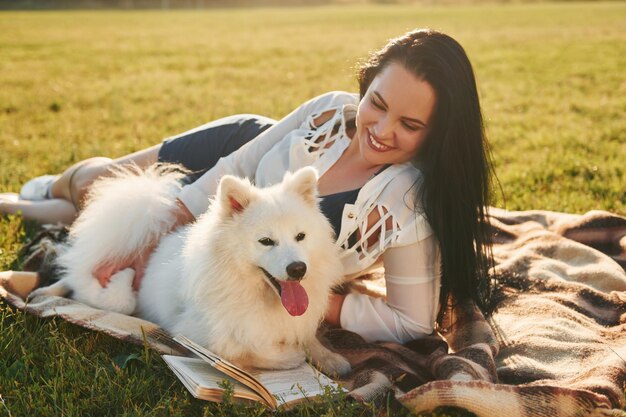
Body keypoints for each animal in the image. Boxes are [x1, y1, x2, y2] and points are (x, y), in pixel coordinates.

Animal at [29, 165, 348, 374]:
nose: (298, 269)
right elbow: (243, 350)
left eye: (300, 236)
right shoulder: (192, 334)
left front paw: (330, 358)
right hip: (119, 295)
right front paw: (290, 357)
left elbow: (307, 336)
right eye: (266, 241)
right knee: (76, 277)